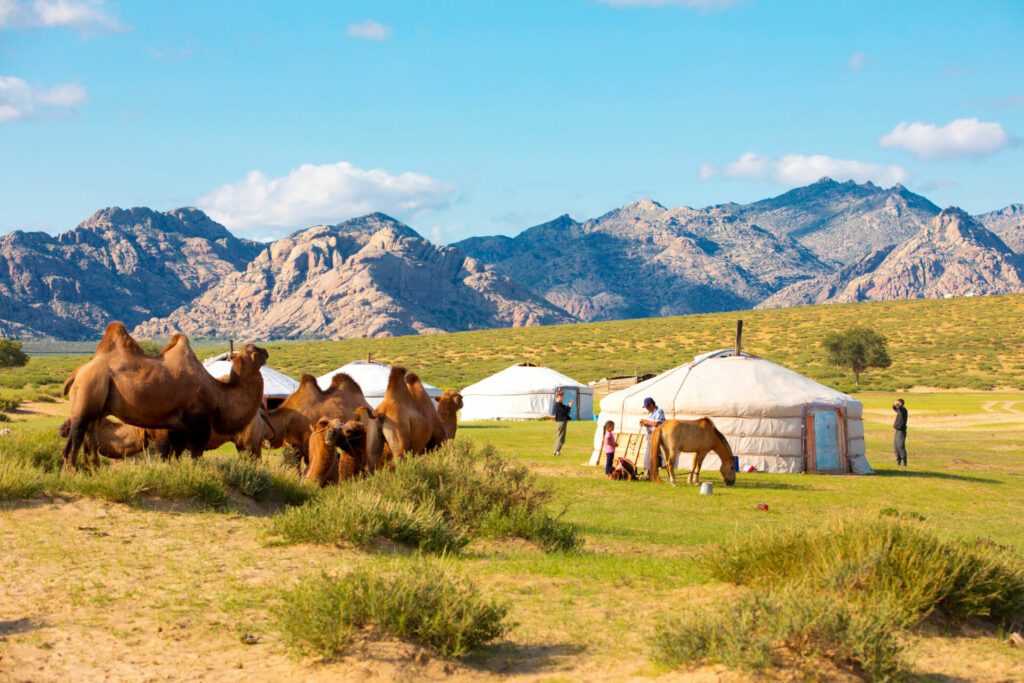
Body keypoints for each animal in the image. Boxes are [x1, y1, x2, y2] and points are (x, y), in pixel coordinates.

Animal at [59, 323, 268, 466]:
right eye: (255, 351)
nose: (266, 351)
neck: (218, 393)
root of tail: (77, 373)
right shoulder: (197, 421)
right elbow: (195, 453)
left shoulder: (178, 427)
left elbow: (176, 455)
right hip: (87, 393)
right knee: (75, 439)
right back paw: (74, 472)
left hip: (96, 408)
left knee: (88, 437)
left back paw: (92, 471)